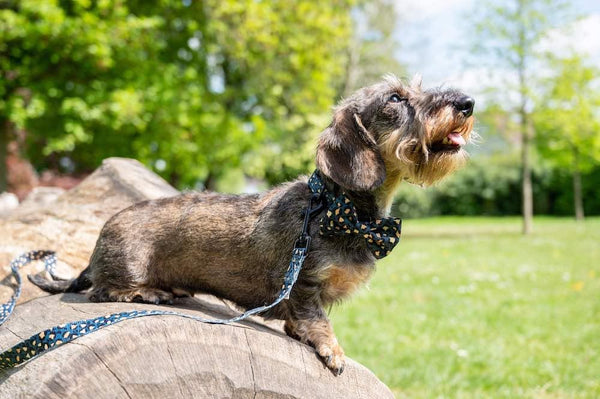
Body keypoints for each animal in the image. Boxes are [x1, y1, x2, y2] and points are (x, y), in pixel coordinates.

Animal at [30, 75, 476, 376]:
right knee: (104, 290)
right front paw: (332, 349)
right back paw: (149, 291)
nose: (467, 102)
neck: (340, 209)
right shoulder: (305, 282)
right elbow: (316, 319)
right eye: (396, 98)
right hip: (125, 267)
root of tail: (95, 248)